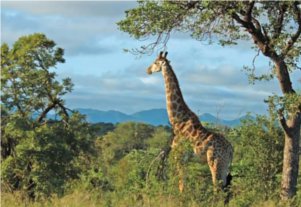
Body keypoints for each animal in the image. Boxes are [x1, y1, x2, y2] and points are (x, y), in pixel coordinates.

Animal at [145, 51, 232, 194]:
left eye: (155, 62)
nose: (147, 70)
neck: (178, 120)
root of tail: (231, 149)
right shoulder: (185, 159)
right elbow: (183, 182)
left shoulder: (179, 156)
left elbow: (181, 184)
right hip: (225, 165)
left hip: (215, 162)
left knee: (218, 188)